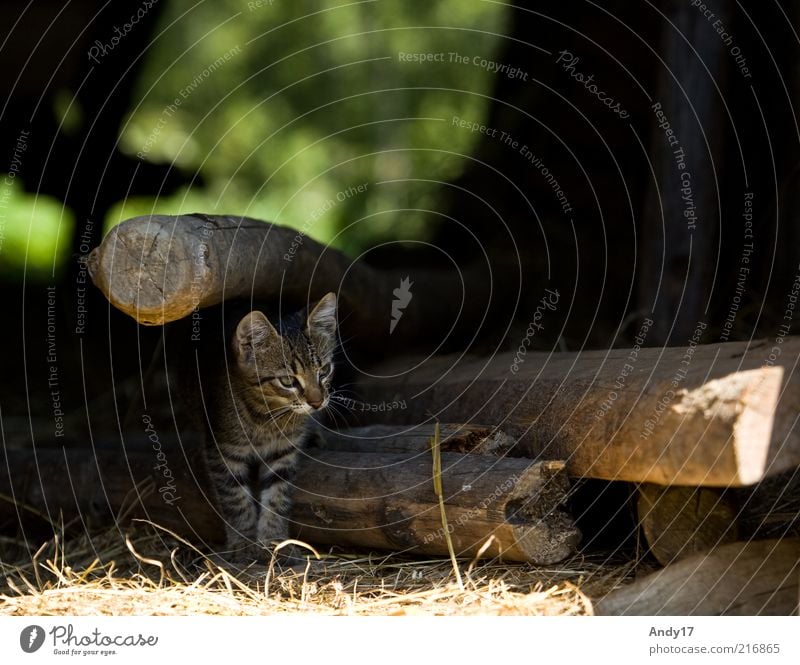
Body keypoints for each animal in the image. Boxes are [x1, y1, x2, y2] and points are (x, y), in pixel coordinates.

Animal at [203, 294, 338, 564]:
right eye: (287, 381)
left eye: (325, 371)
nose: (317, 402)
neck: (266, 416)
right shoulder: (222, 451)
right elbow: (235, 498)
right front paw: (243, 543)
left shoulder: (284, 451)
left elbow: (277, 495)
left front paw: (275, 541)